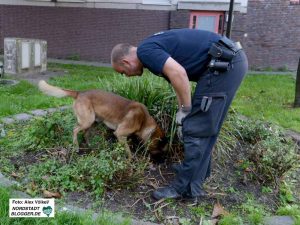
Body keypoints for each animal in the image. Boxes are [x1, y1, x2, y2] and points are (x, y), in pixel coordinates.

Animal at [38, 80, 166, 160]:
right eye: (158, 147)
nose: (162, 160)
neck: (143, 120)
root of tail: (80, 92)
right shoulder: (120, 133)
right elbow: (128, 150)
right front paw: (131, 159)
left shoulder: (120, 136)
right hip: (88, 121)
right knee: (75, 130)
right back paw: (76, 146)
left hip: (94, 121)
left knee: (85, 134)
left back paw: (90, 145)